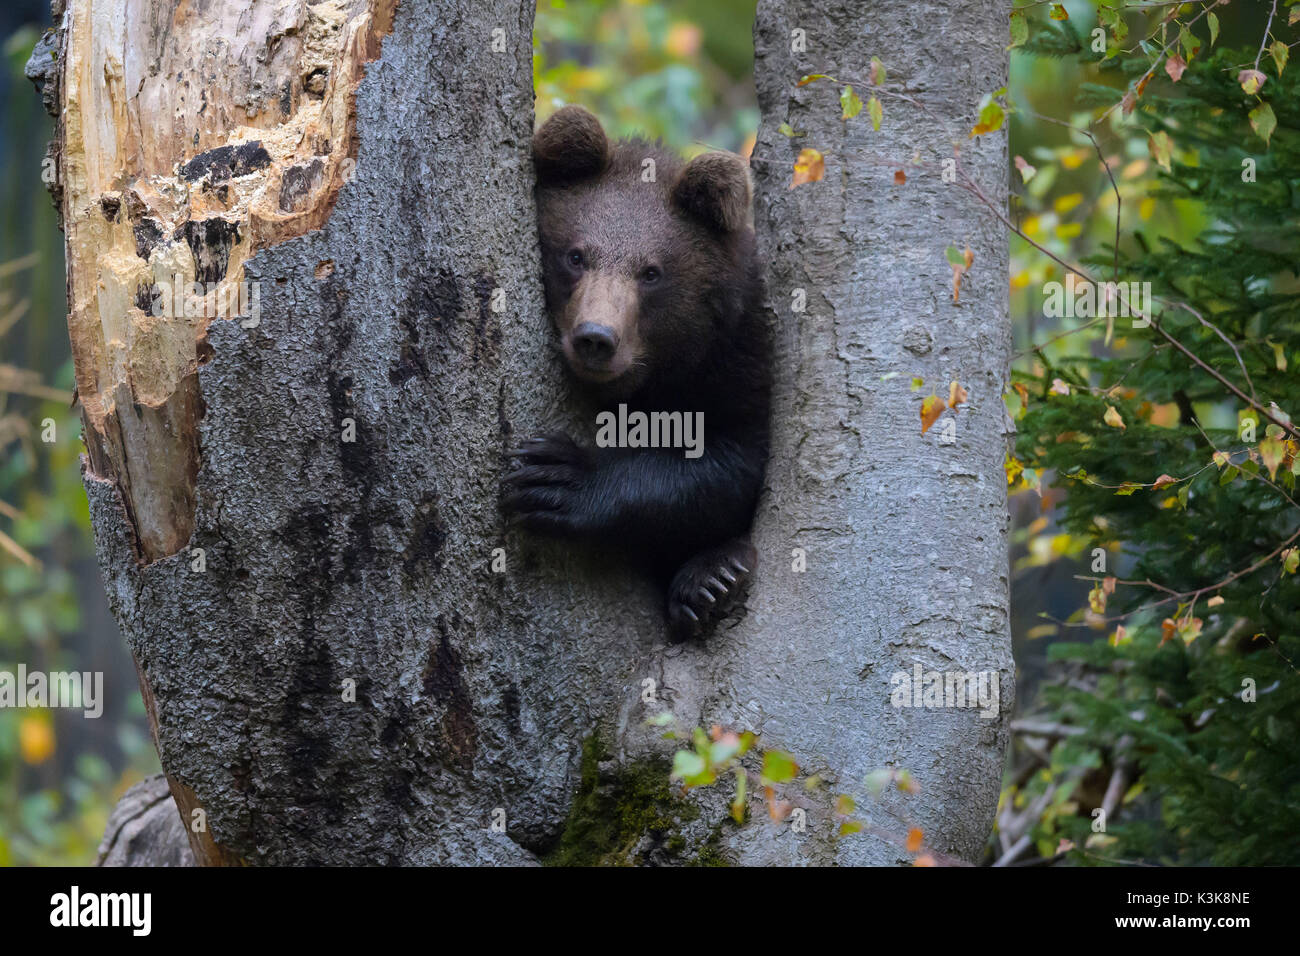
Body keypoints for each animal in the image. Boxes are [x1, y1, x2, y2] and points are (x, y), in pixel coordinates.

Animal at [503, 105, 771, 640]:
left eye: (651, 273)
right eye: (575, 255)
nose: (596, 337)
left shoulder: (737, 358)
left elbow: (728, 463)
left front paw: (558, 478)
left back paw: (714, 578)